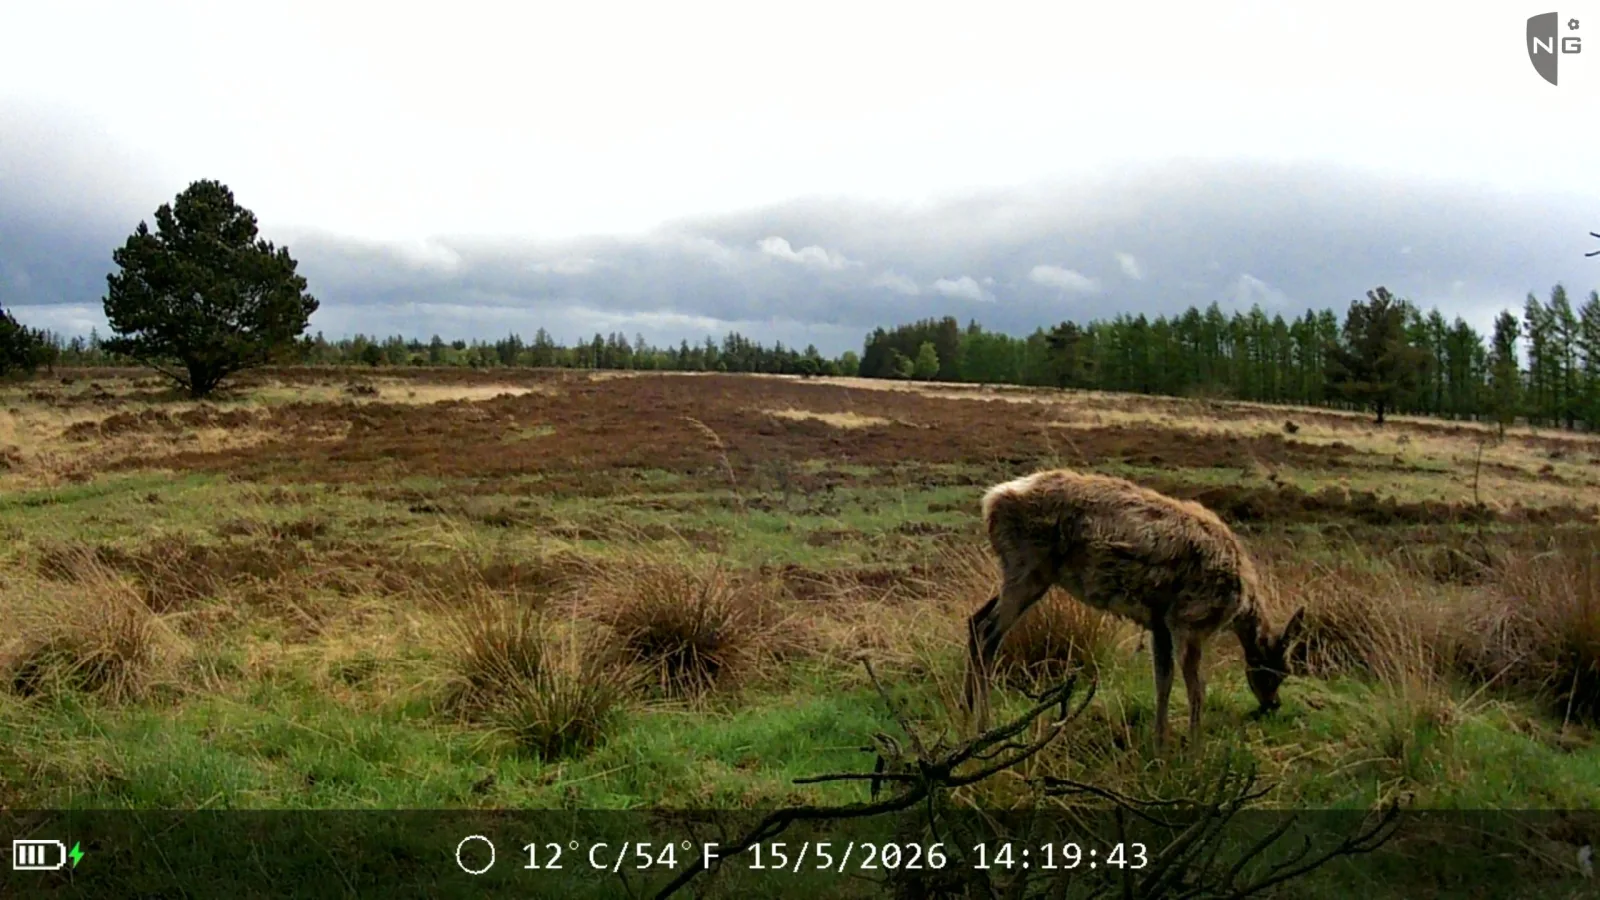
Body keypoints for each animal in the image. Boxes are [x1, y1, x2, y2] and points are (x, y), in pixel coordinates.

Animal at [963, 469, 1306, 749]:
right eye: (1278, 669)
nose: (1273, 704)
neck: (1239, 601)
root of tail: (991, 500)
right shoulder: (1189, 620)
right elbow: (1197, 688)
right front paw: (1195, 752)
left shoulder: (1160, 622)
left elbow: (1163, 681)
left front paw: (1160, 744)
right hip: (1028, 569)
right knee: (987, 632)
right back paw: (984, 727)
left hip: (1023, 575)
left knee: (975, 619)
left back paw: (967, 712)